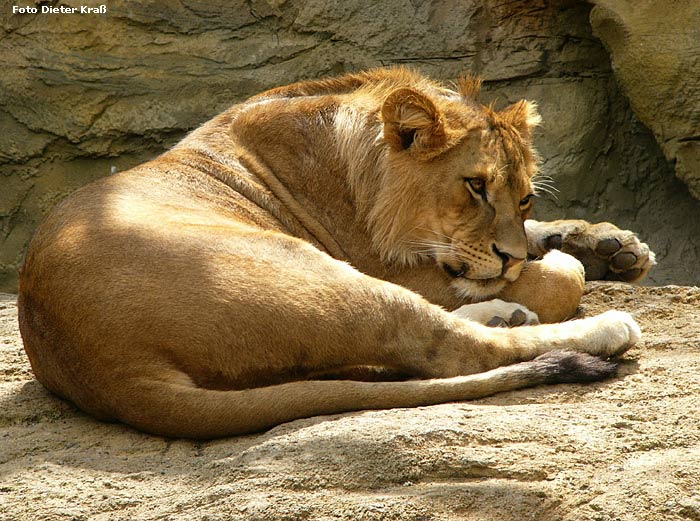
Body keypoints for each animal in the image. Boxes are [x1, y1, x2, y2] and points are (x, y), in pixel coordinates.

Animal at [20, 67, 656, 436]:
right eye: (475, 186)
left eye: (523, 196)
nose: (508, 256)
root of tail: (109, 374)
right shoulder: (406, 267)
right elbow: (560, 278)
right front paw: (557, 264)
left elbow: (547, 245)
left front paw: (611, 244)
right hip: (315, 273)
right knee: (448, 351)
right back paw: (597, 327)